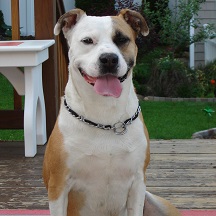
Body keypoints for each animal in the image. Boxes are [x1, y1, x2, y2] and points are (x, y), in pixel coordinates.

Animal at [42, 8, 181, 216]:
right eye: (87, 40)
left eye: (122, 39)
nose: (109, 58)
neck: (105, 116)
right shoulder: (58, 186)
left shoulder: (138, 183)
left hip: (158, 203)